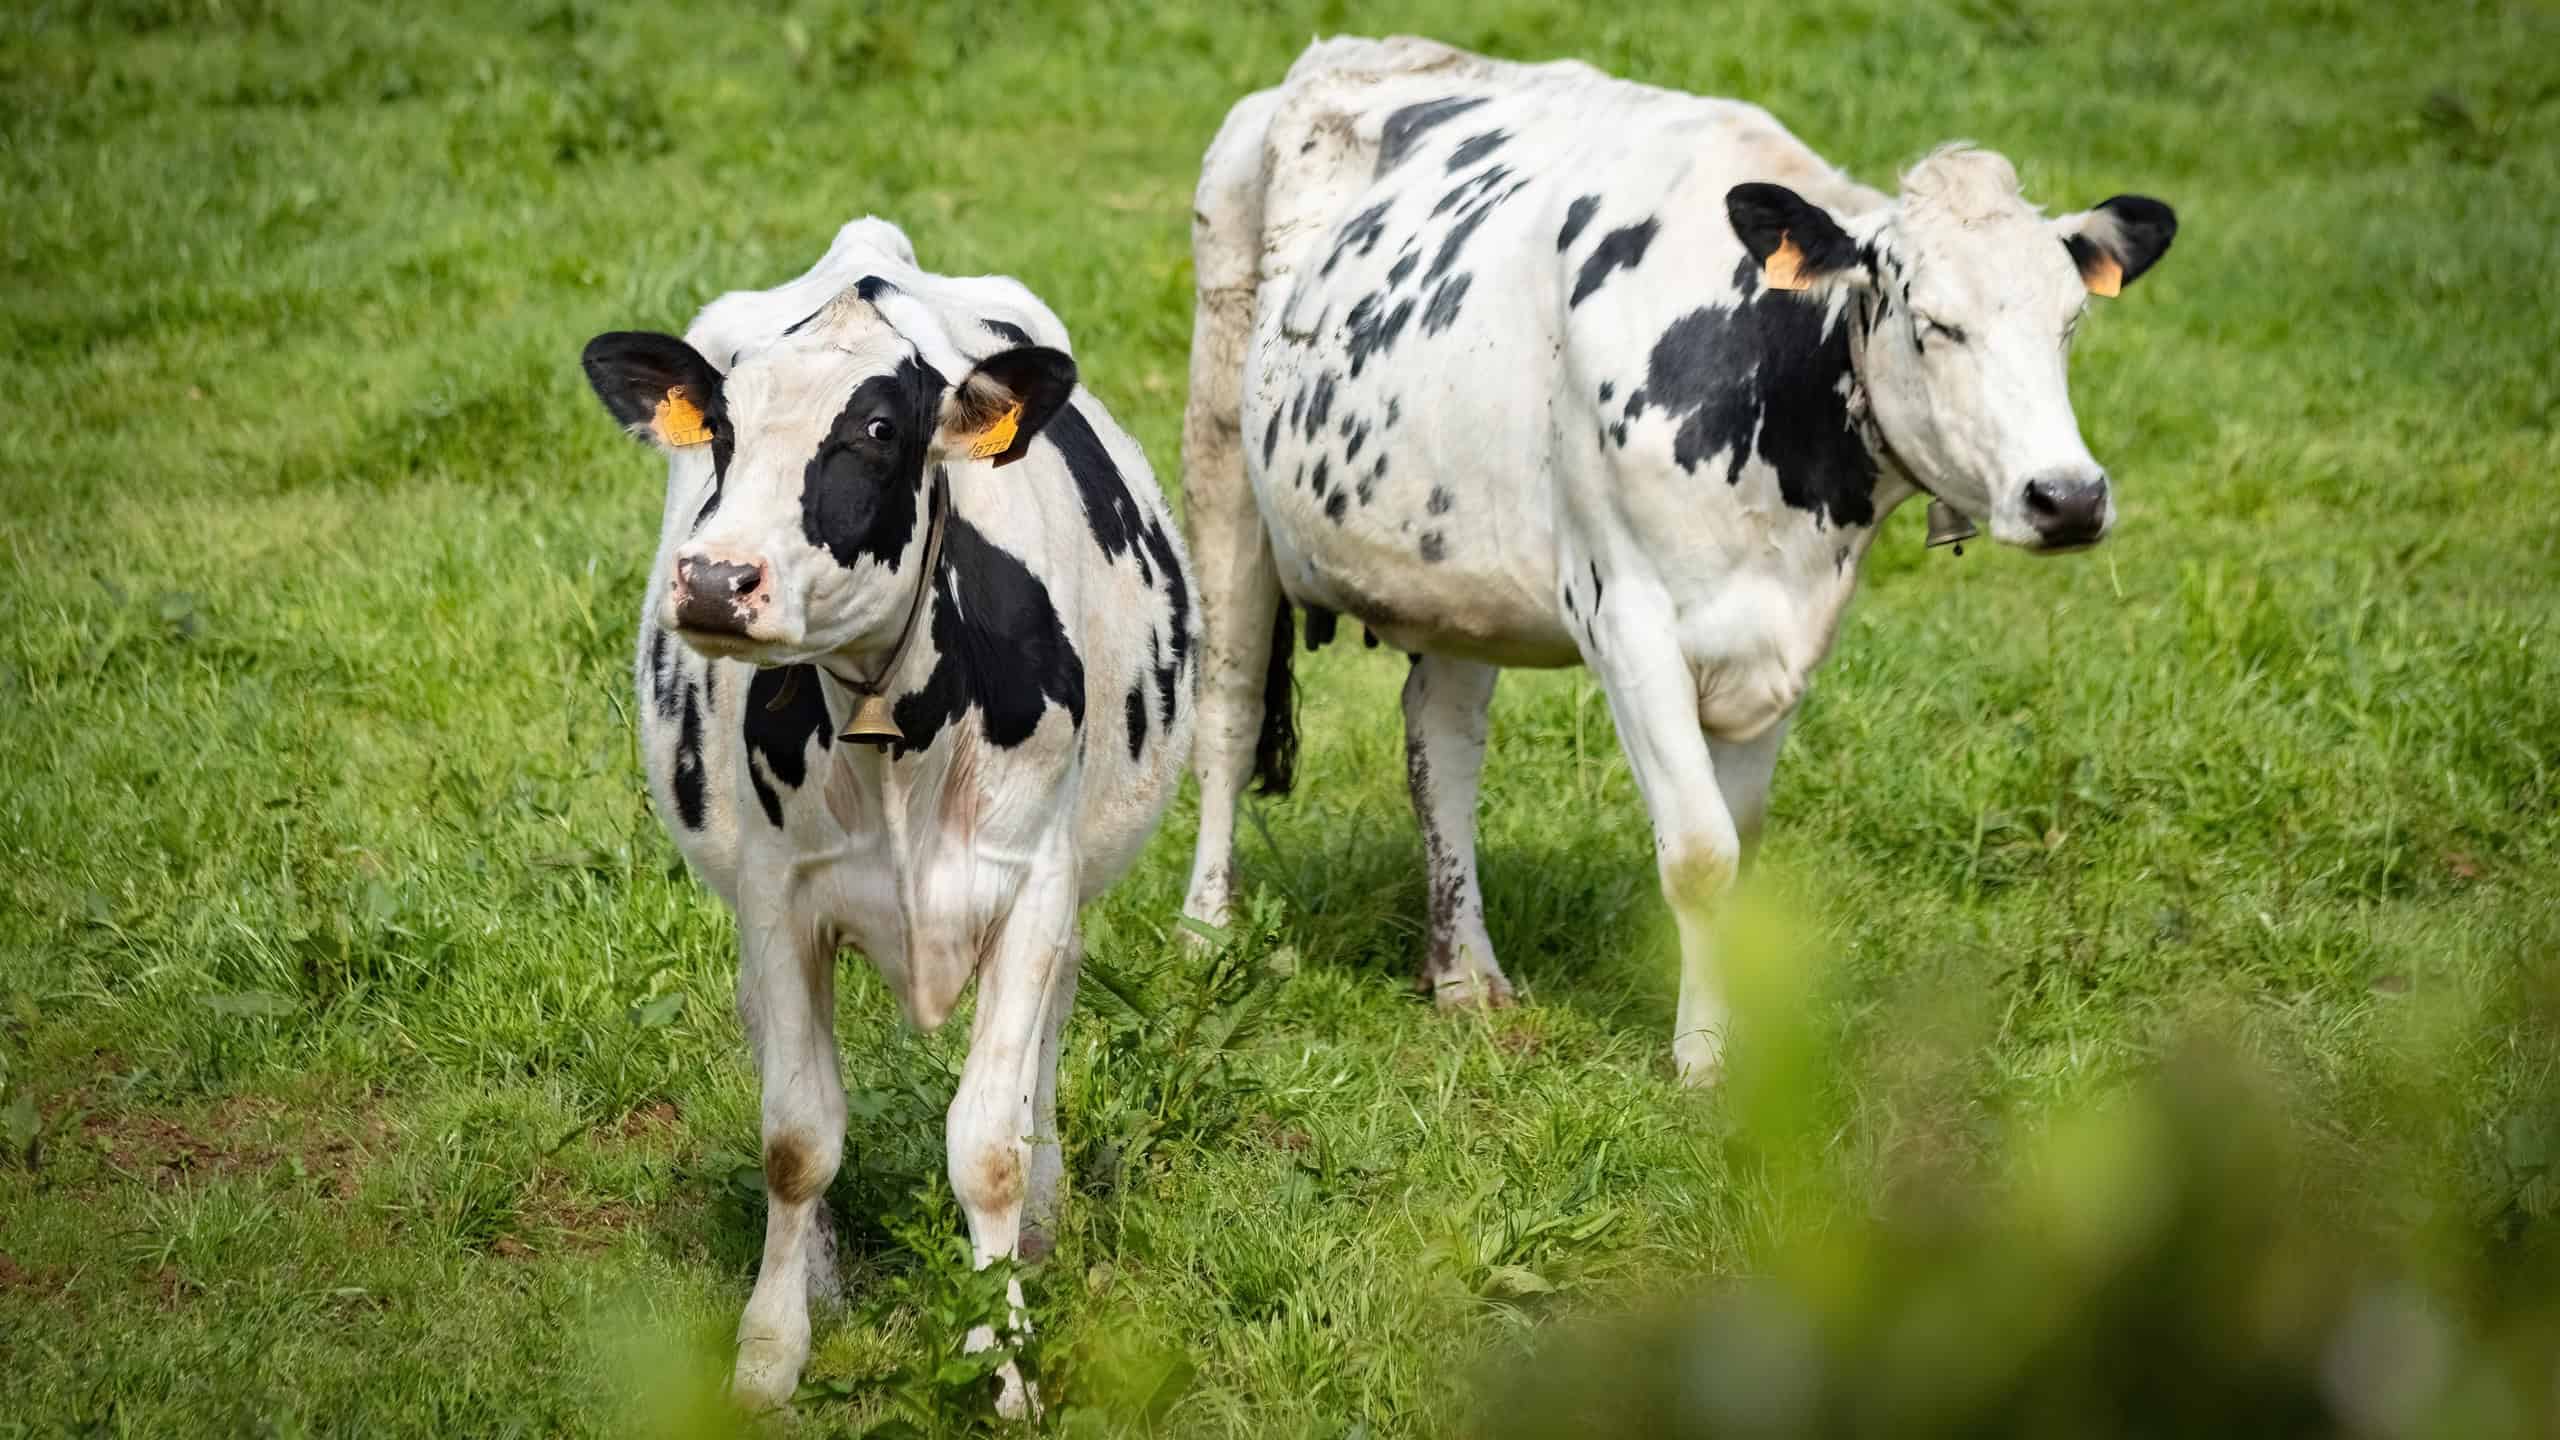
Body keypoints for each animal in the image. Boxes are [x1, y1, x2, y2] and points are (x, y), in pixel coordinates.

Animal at [578, 217, 1198, 1413]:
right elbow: (797, 1136)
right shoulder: (779, 897)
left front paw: (1004, 1360)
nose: (715, 581)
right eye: (721, 429)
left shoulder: (1033, 889)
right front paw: (771, 1349)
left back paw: (1043, 1222)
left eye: (875, 430)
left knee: (1045, 1055)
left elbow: (989, 1144)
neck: (898, 726)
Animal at [1177, 38, 2176, 1084]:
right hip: (1220, 453)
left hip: (1450, 565)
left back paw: (1465, 975)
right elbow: (1700, 853)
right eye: (1932, 322)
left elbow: (1743, 841)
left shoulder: (1785, 639)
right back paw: (1208, 932)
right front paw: (1700, 1060)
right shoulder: (1629, 621)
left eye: (2070, 323)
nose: (2068, 497)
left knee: (1440, 741)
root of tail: (1340, 55)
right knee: (1229, 710)